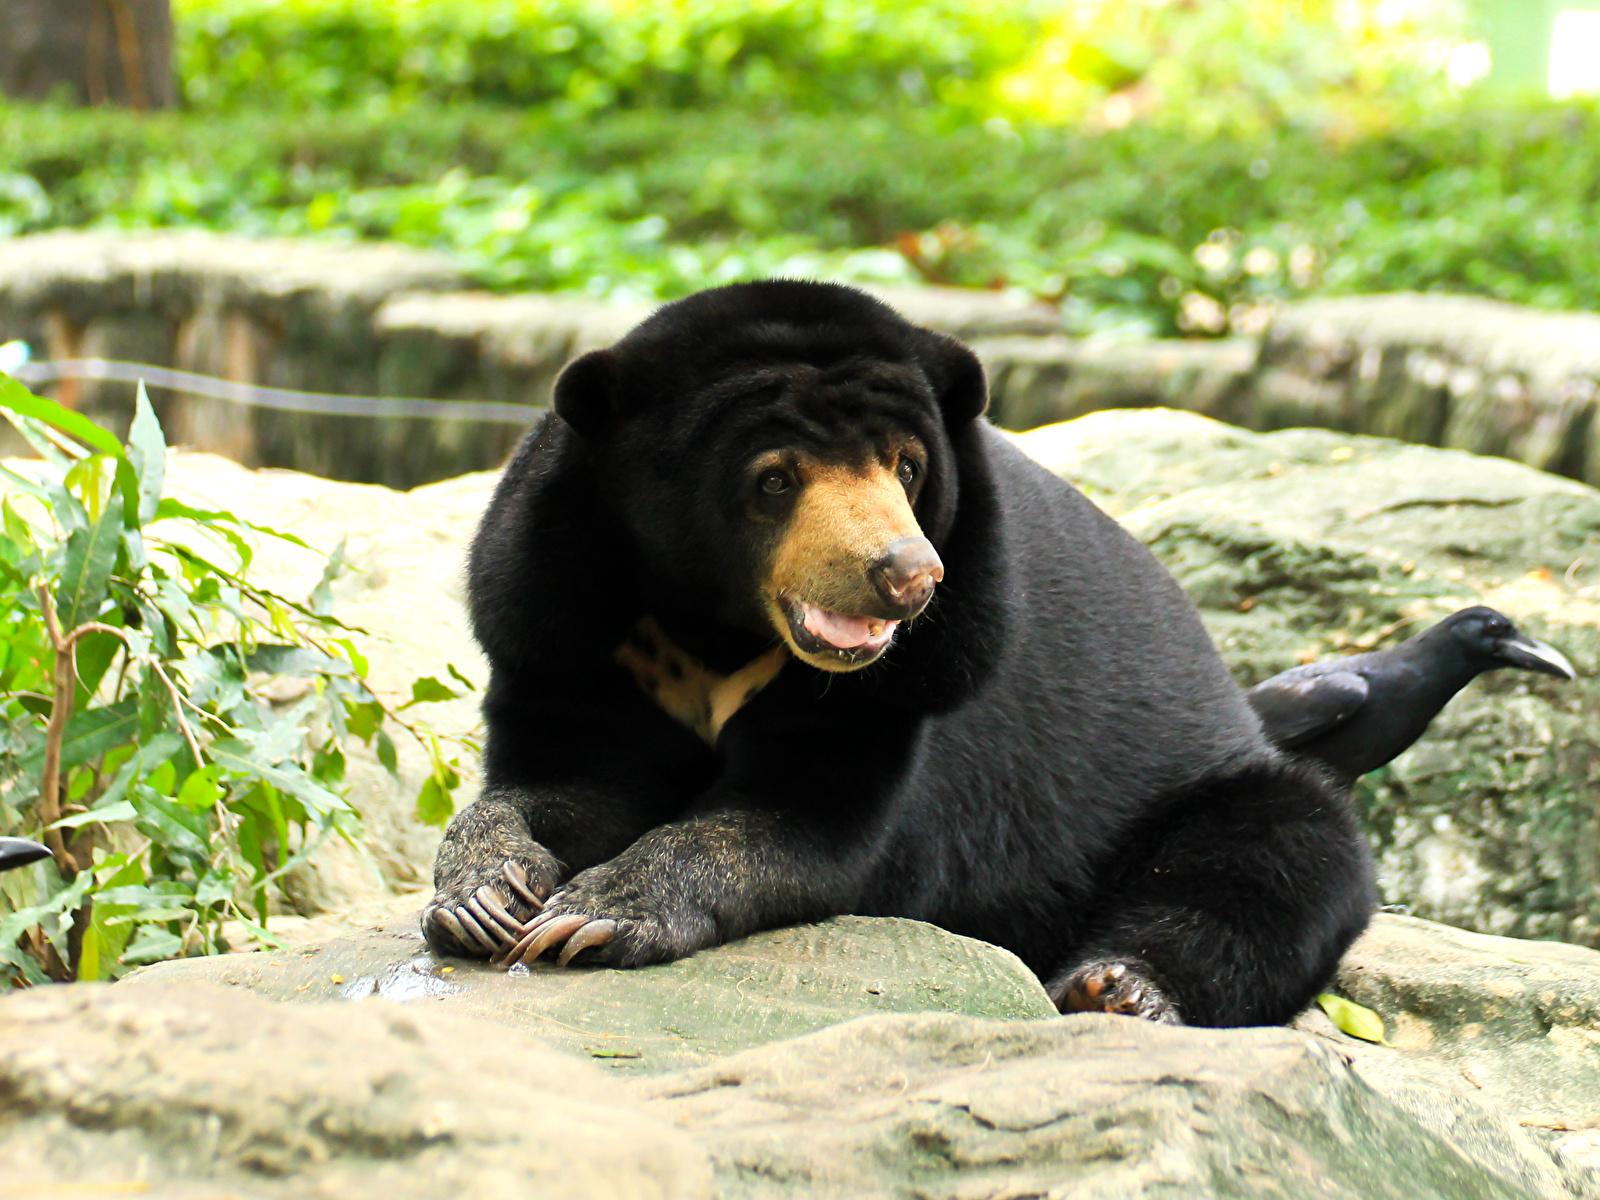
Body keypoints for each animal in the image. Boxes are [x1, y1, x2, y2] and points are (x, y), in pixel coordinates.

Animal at [425, 280, 1376, 1024]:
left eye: (908, 466)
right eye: (775, 479)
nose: (907, 575)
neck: (717, 627)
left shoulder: (921, 679)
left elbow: (795, 825)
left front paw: (595, 914)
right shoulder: (565, 625)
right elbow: (567, 780)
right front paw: (484, 895)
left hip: (1204, 789)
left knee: (1275, 860)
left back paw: (1118, 989)